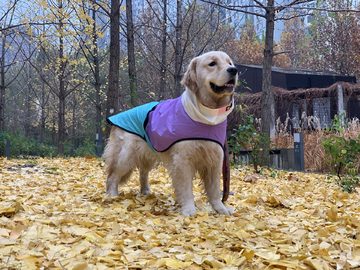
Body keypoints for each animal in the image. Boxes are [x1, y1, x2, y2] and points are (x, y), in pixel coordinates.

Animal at [102, 50, 238, 216]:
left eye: (229, 63)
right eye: (212, 63)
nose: (233, 70)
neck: (206, 116)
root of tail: (117, 117)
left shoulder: (215, 159)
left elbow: (214, 191)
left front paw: (221, 209)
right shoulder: (182, 160)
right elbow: (186, 188)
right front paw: (189, 210)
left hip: (148, 154)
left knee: (143, 173)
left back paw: (146, 191)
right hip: (126, 156)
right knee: (113, 175)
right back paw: (111, 195)